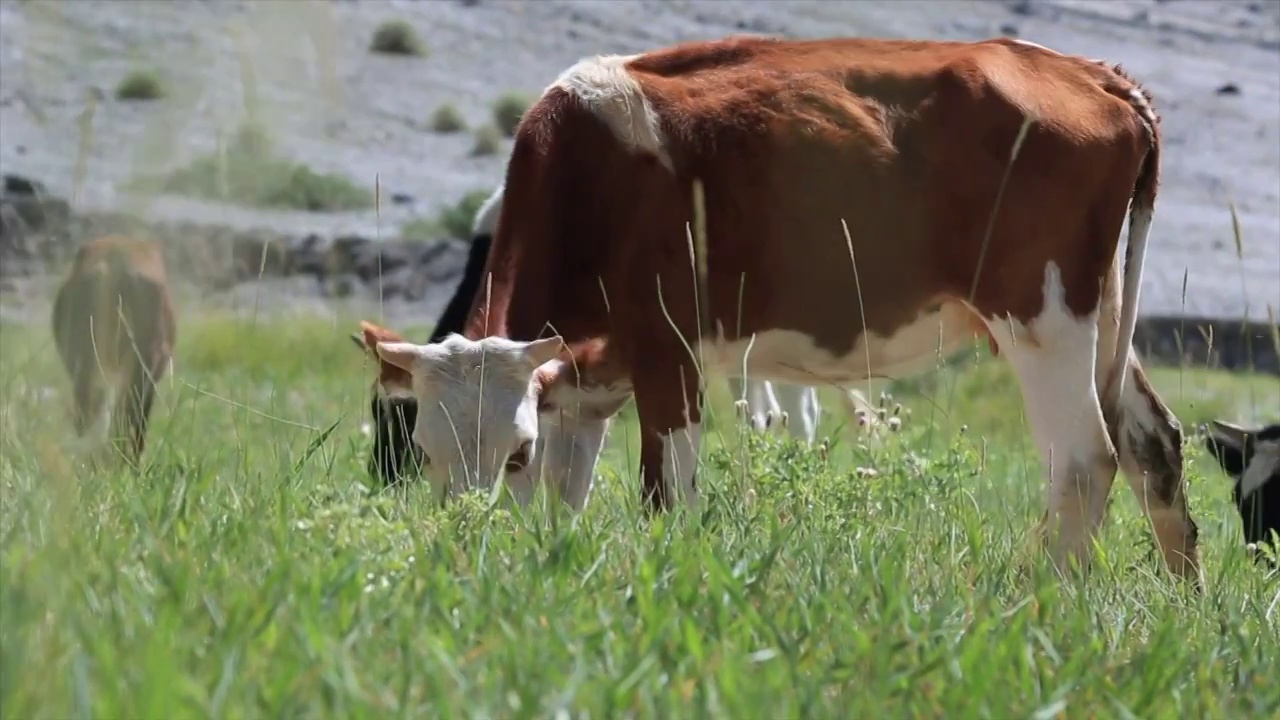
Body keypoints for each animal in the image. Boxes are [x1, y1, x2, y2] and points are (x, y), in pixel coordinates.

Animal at [373, 33, 1203, 584]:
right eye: (422, 450)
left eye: (512, 452)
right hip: (1101, 316)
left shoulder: (667, 350)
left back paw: (1038, 593)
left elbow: (667, 495)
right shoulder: (583, 386)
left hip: (1043, 317)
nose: (466, 547)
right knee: (1153, 444)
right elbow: (562, 503)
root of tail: (1093, 74)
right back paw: (1178, 600)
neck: (590, 178)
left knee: (1085, 462)